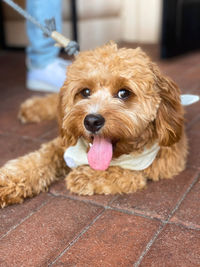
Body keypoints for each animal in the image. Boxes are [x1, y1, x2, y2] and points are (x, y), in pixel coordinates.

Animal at [0, 43, 188, 208]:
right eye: (85, 92)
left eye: (124, 93)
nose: (91, 121)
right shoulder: (65, 143)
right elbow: (40, 158)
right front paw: (8, 180)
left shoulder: (166, 161)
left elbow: (128, 173)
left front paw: (84, 176)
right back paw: (31, 108)